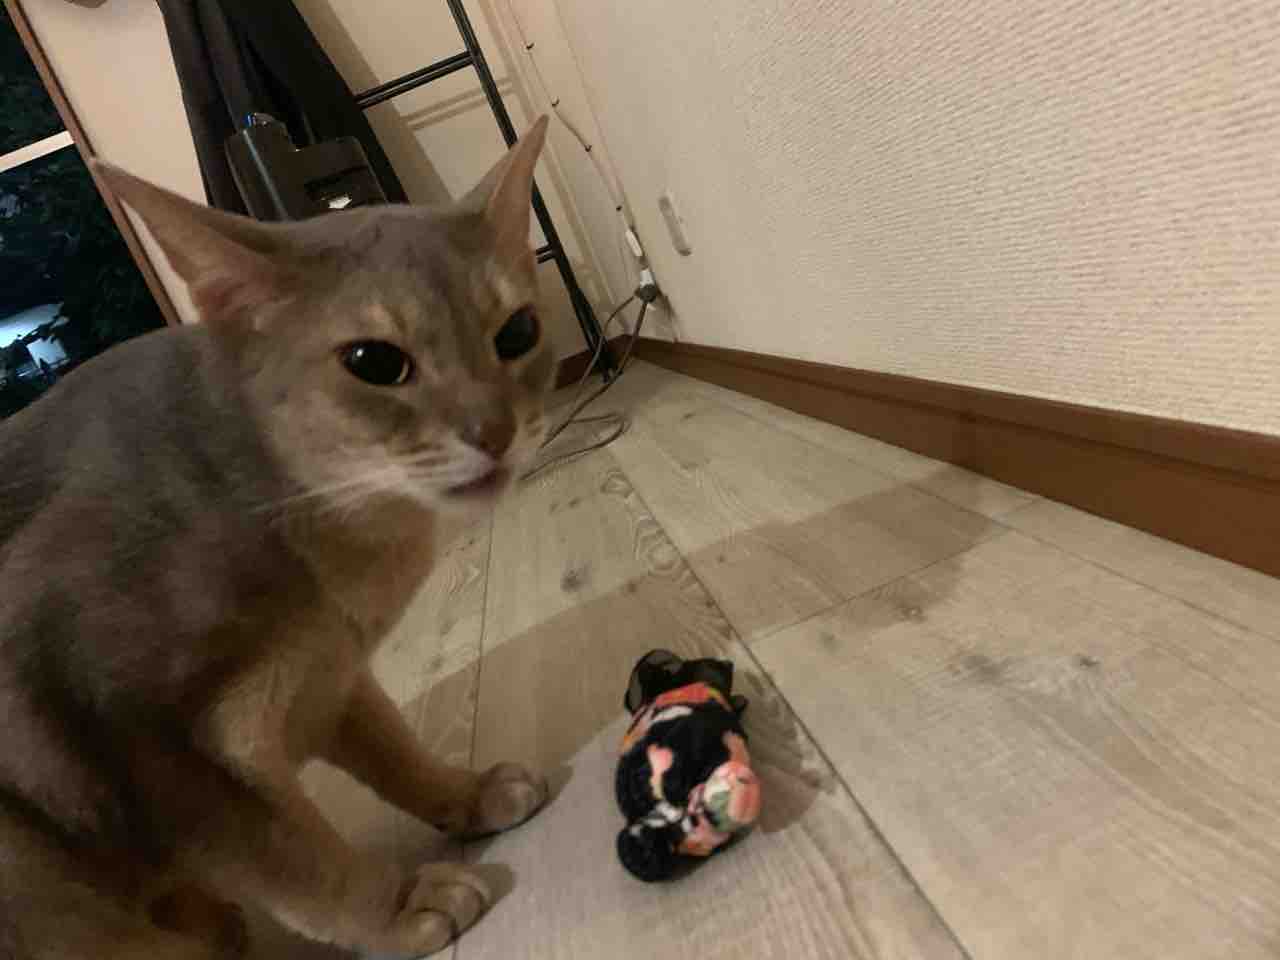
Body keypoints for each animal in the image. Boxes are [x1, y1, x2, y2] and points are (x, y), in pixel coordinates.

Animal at [0, 117, 556, 959]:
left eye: (518, 332)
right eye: (374, 362)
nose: (494, 432)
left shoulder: (328, 671)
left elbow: (391, 747)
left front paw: (464, 794)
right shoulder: (146, 742)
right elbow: (295, 856)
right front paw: (396, 909)